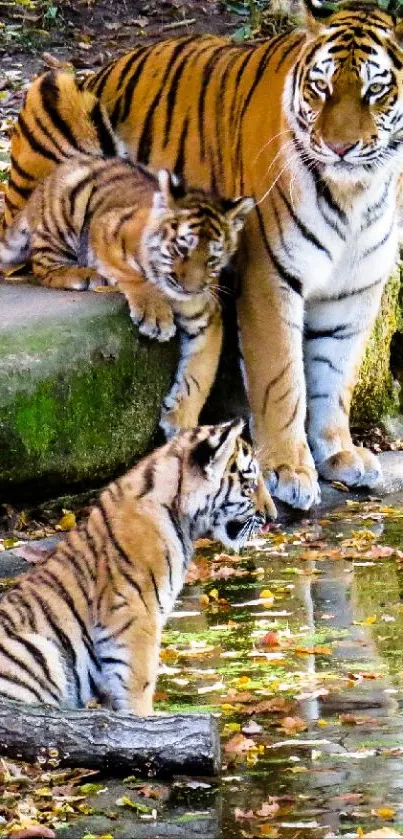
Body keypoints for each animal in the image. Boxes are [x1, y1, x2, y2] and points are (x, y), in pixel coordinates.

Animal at [0, 156, 253, 436]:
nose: (190, 290)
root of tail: (39, 190)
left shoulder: (207, 317)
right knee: (43, 264)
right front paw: (155, 316)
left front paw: (181, 421)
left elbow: (200, 373)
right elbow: (134, 276)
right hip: (65, 212)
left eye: (211, 259)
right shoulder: (104, 228)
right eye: (181, 249)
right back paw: (84, 274)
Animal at [0, 420, 276, 713]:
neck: (180, 514)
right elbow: (139, 686)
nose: (273, 517)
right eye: (249, 484)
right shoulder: (134, 616)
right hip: (39, 651)